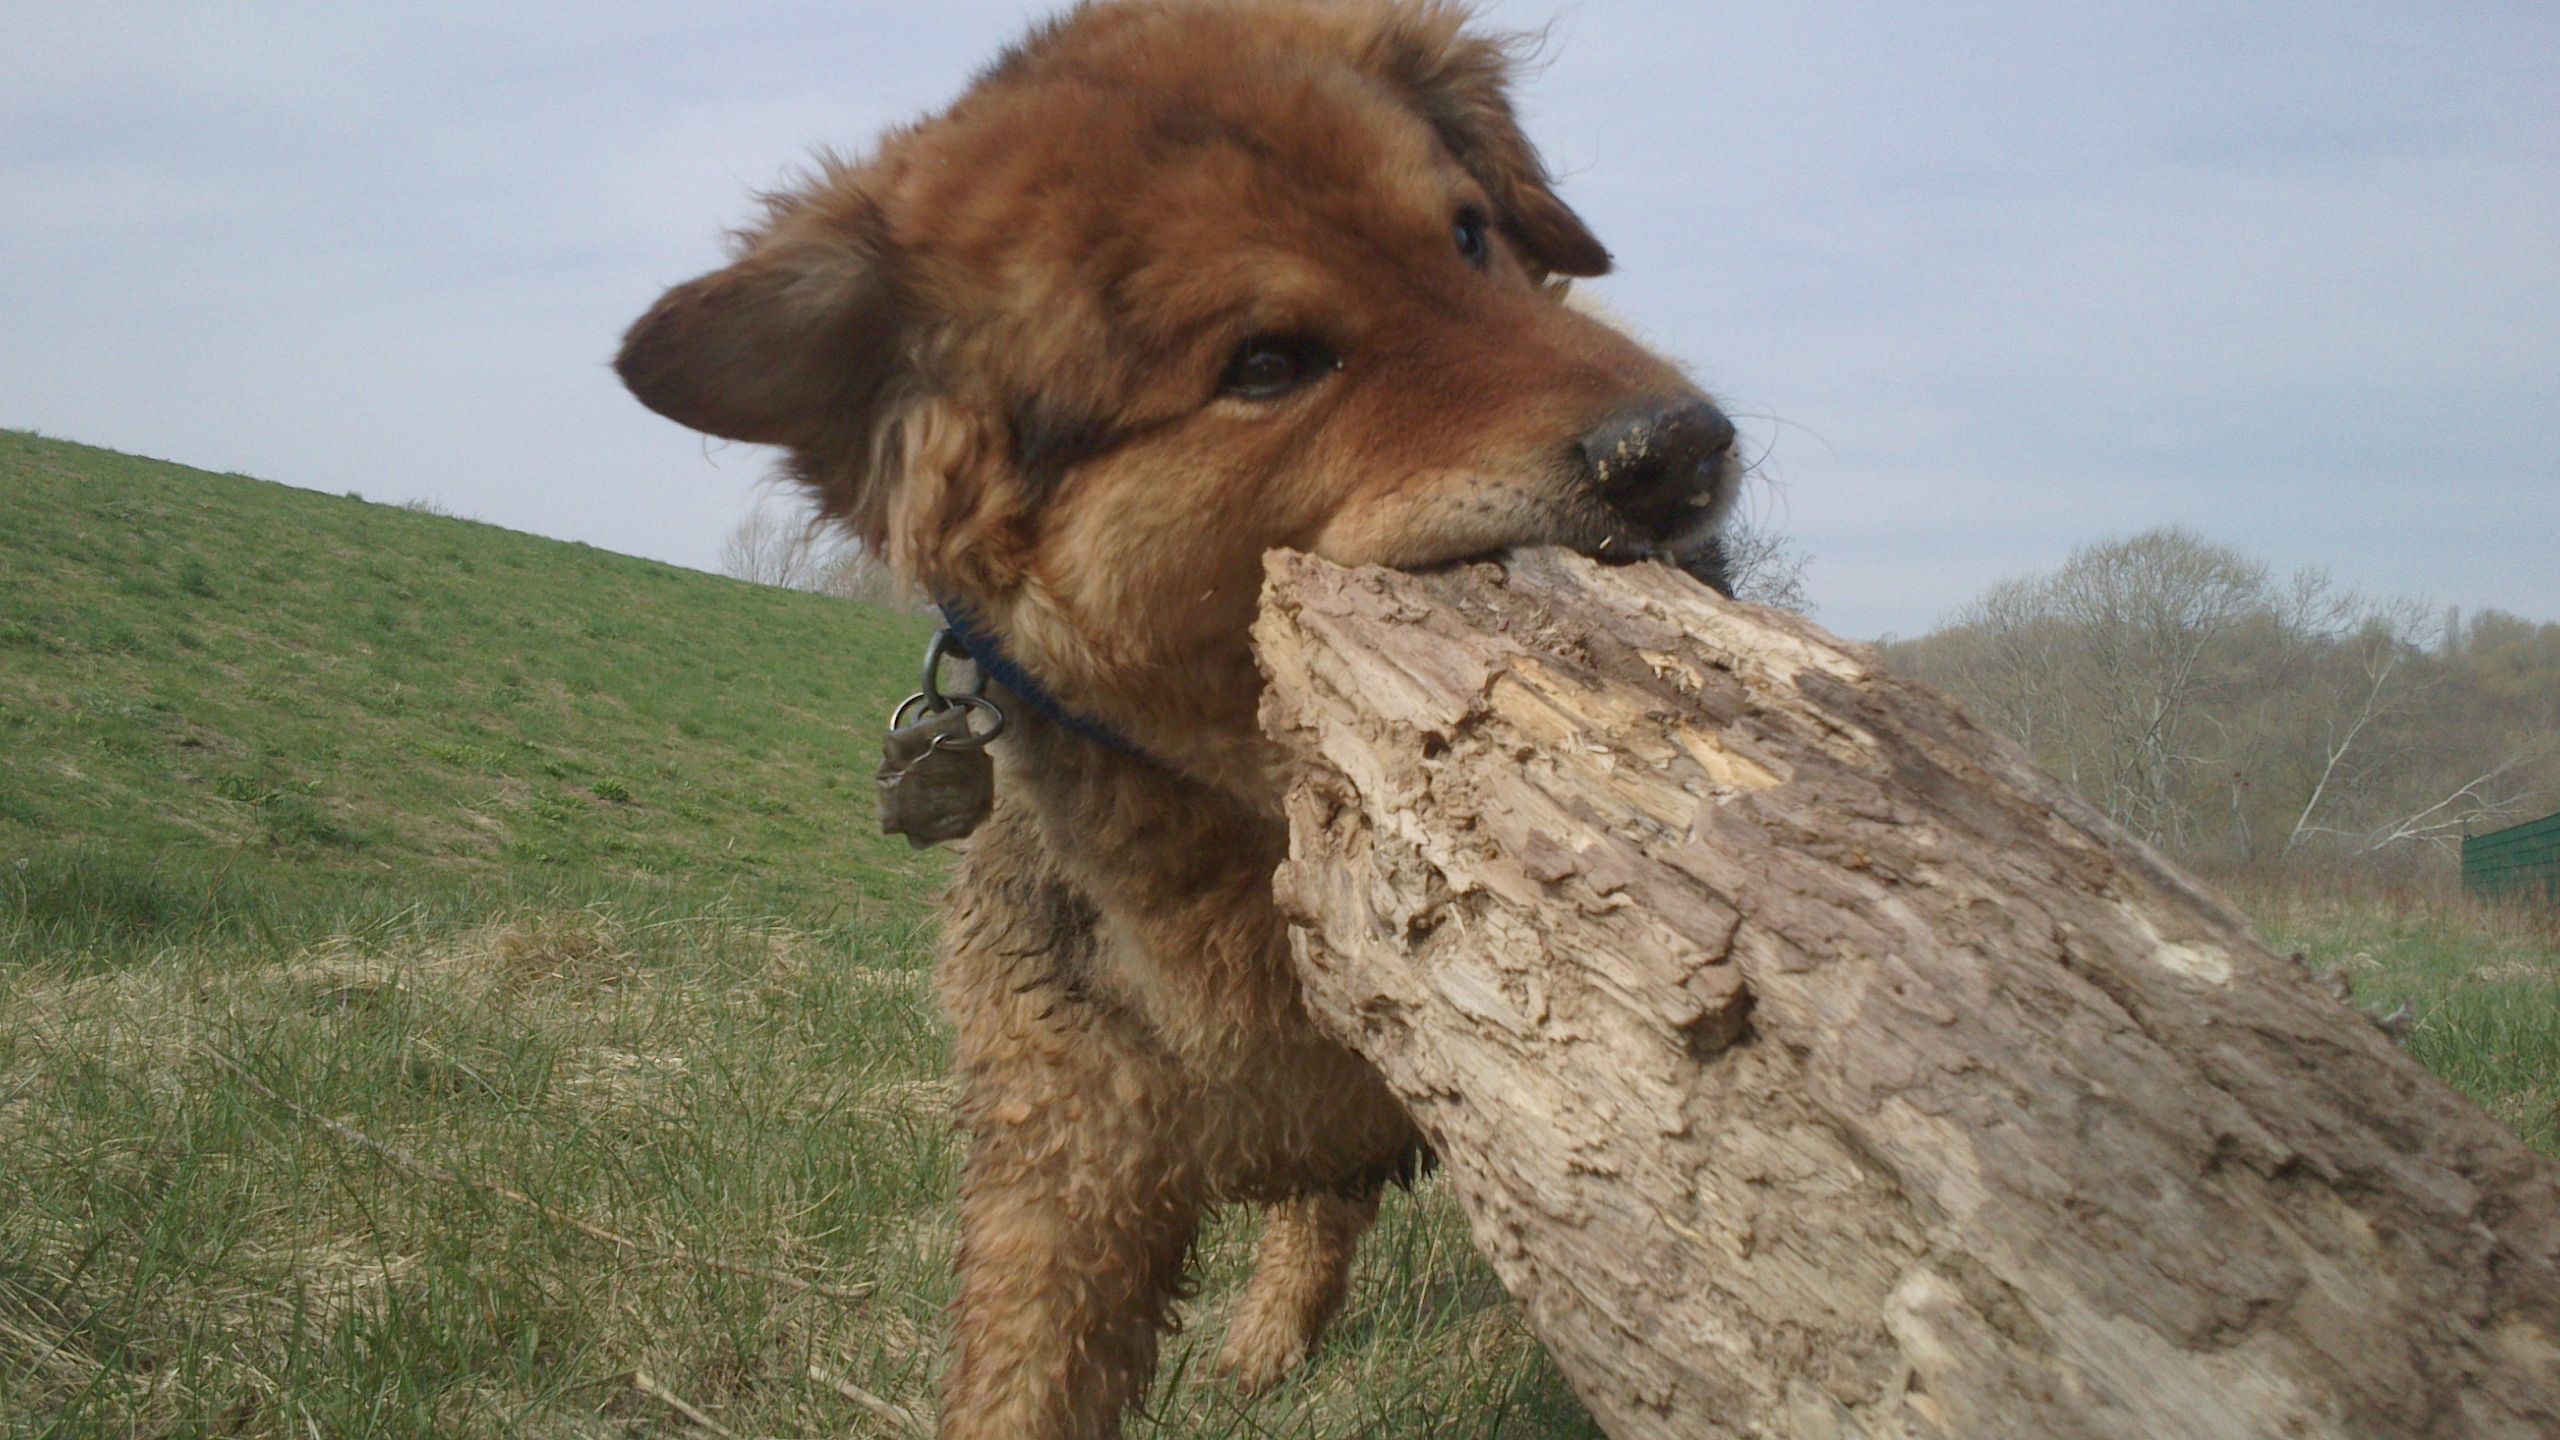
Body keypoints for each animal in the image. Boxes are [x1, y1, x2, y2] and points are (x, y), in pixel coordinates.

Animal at [622, 5, 1740, 1424]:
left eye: (1468, 234)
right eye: (1265, 362)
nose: (1685, 447)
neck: (1260, 837)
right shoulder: (1065, 1164)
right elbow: (1018, 1385)